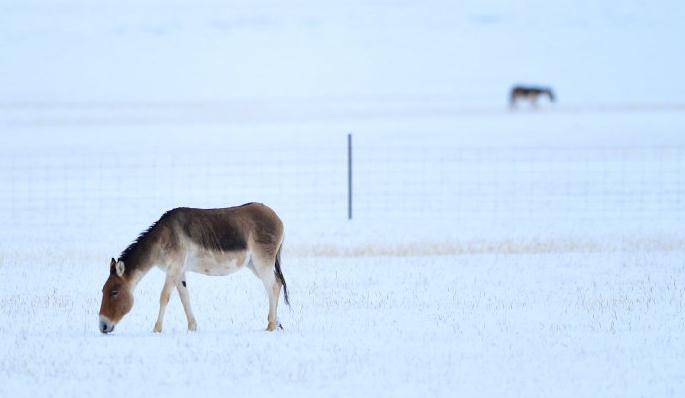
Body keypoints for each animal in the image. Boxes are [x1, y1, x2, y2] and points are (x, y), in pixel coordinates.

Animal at [97, 202, 288, 332]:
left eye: (114, 292)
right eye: (103, 291)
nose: (102, 327)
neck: (162, 239)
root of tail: (276, 216)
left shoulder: (173, 268)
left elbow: (164, 297)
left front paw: (156, 329)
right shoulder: (179, 271)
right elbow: (184, 297)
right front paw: (192, 327)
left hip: (262, 262)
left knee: (272, 286)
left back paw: (271, 325)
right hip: (253, 264)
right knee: (277, 284)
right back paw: (275, 322)